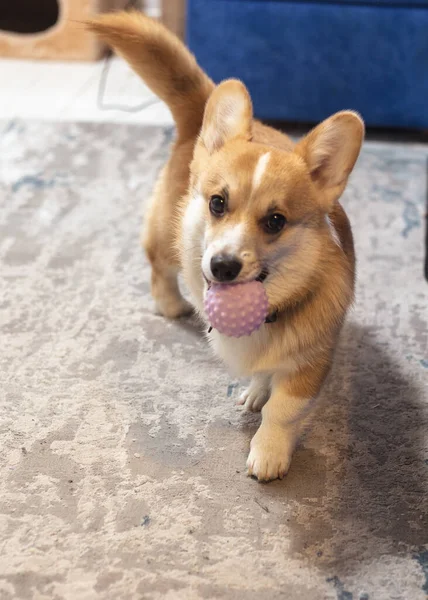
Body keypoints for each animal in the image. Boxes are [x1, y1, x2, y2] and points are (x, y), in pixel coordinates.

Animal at [87, 11, 364, 482]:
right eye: (218, 202)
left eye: (276, 221)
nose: (222, 266)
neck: (270, 311)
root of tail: (199, 113)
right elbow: (278, 406)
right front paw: (268, 444)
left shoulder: (310, 363)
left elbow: (282, 410)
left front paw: (268, 446)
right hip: (169, 237)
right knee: (158, 266)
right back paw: (170, 303)